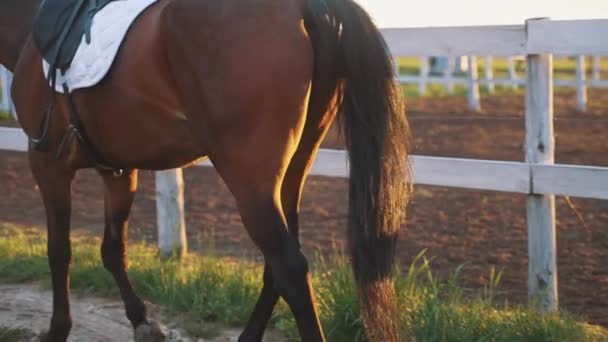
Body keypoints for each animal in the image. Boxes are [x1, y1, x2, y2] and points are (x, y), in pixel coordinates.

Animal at [0, 0, 410, 340]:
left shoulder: (48, 165)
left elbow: (59, 250)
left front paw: (57, 330)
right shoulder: (118, 170)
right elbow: (112, 249)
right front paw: (142, 321)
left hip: (250, 183)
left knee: (290, 268)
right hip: (291, 173)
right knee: (278, 266)